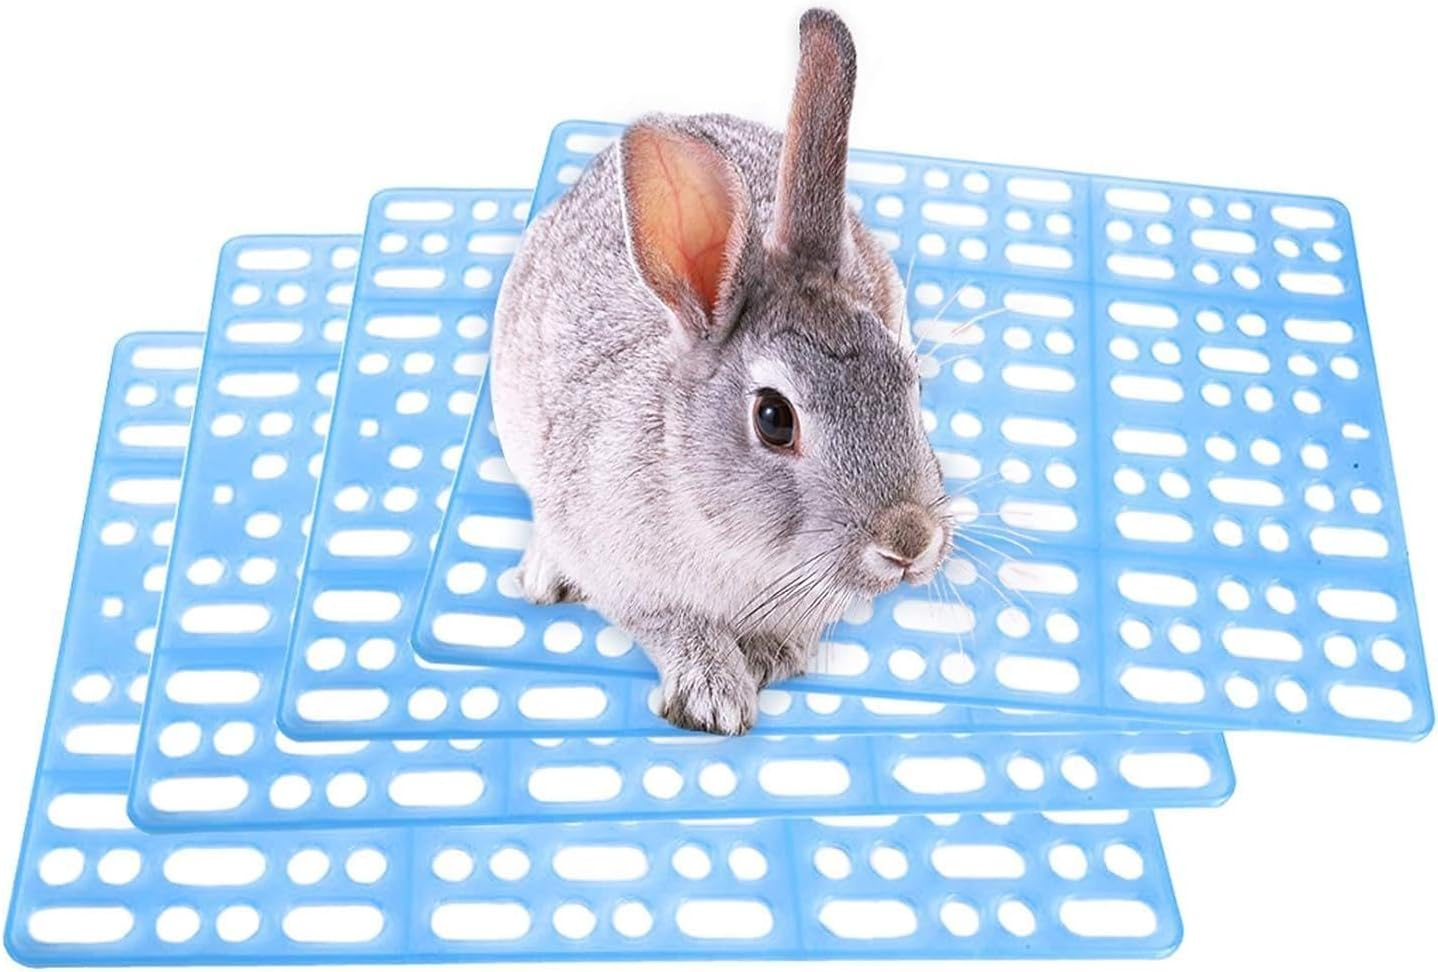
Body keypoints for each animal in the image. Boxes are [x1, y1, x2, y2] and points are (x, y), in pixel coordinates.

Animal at [490, 8, 951, 735]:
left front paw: (766, 659)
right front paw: (714, 698)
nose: (910, 541)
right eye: (773, 419)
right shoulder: (630, 579)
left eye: (911, 380)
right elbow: (673, 625)